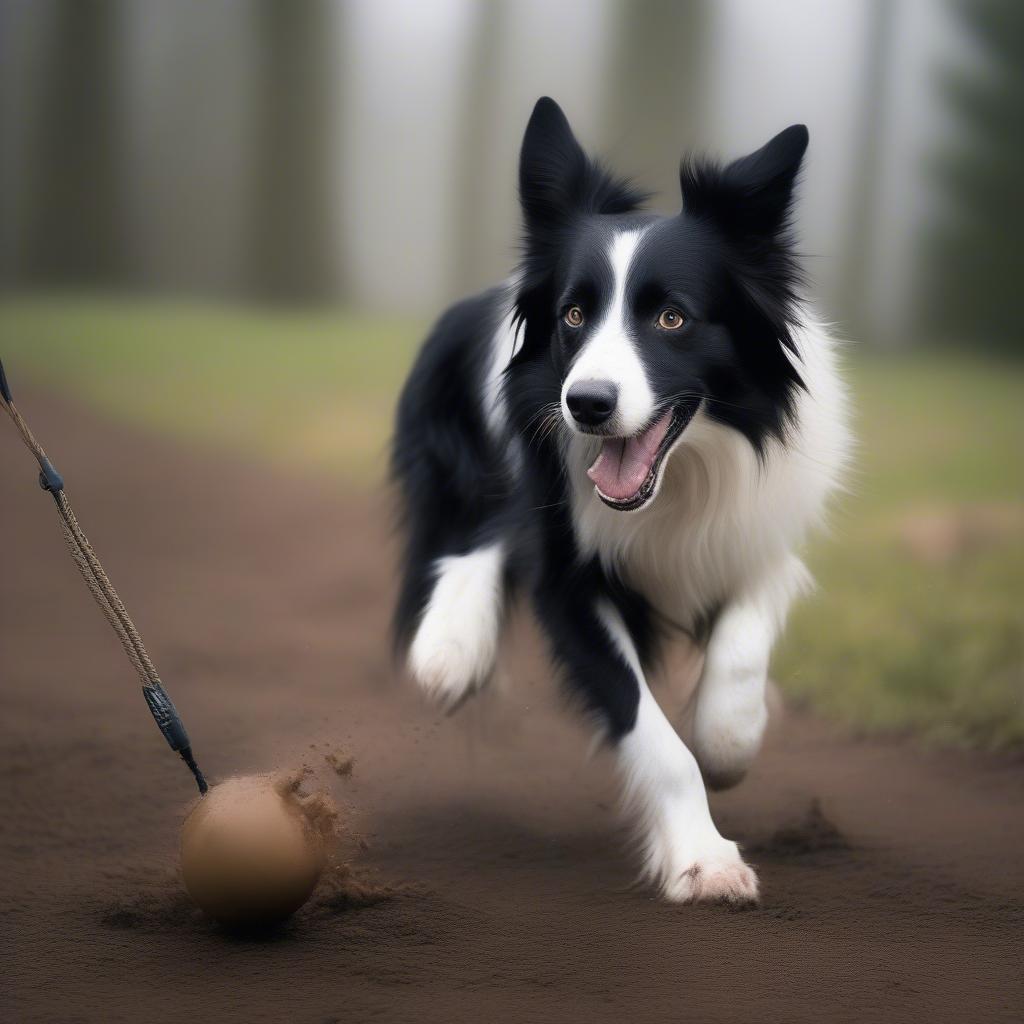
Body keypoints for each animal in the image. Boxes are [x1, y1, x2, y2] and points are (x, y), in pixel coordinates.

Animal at [391, 97, 847, 905]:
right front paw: (704, 860)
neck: (683, 476)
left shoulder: (761, 531)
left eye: (673, 318)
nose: (587, 405)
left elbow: (739, 654)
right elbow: (653, 735)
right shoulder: (568, 581)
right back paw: (450, 647)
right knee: (487, 530)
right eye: (573, 315)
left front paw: (730, 739)